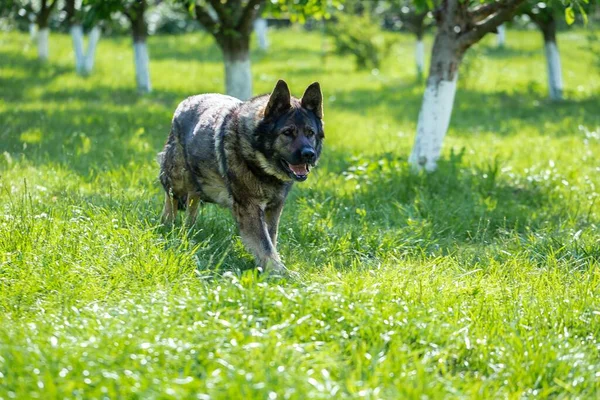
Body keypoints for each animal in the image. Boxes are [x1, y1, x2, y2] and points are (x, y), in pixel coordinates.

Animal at [155, 80, 324, 276]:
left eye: (310, 133)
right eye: (287, 132)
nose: (309, 154)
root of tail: (186, 102)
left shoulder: (274, 208)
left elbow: (271, 239)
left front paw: (271, 267)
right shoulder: (250, 207)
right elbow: (264, 244)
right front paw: (280, 272)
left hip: (196, 182)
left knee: (192, 201)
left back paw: (188, 229)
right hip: (178, 178)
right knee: (171, 198)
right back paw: (168, 224)